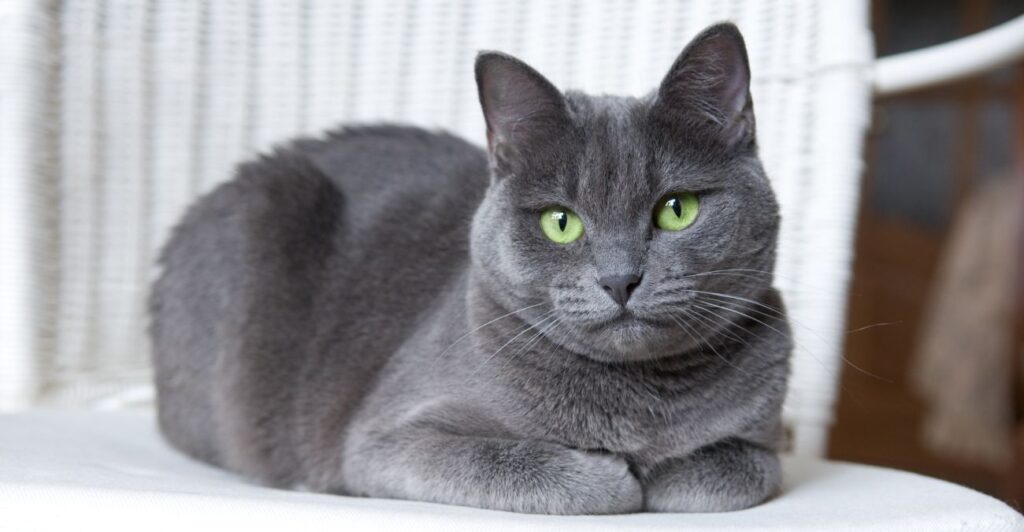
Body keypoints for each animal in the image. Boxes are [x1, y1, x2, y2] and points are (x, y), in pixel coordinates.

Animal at [149, 23, 790, 515]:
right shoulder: (387, 441)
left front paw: (667, 473)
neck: (640, 403)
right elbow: (522, 464)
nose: (620, 278)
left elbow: (746, 467)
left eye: (676, 209)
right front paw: (616, 476)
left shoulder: (762, 427)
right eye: (561, 222)